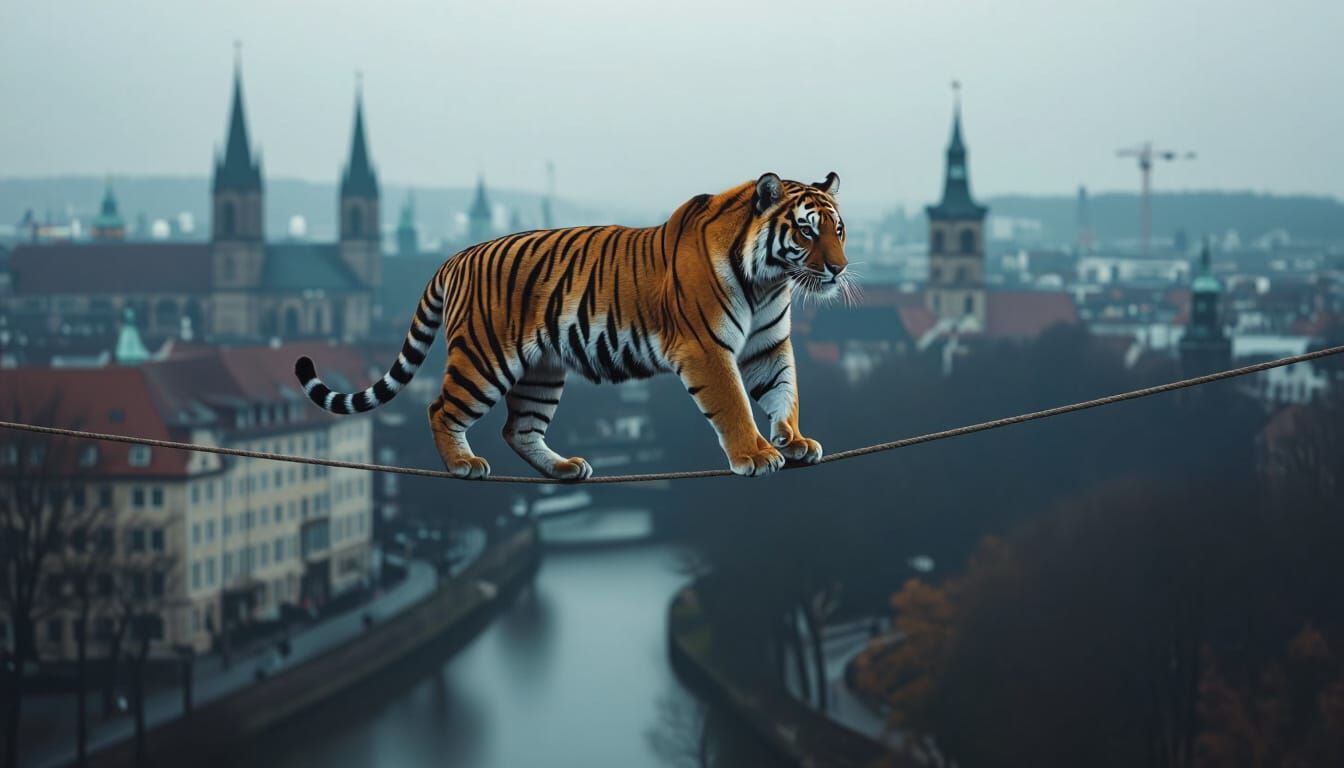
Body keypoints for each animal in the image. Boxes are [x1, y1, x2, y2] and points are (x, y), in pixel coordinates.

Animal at [295, 171, 851, 480]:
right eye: (807, 230)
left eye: (839, 230)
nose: (839, 269)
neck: (769, 282)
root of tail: (456, 256)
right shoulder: (707, 349)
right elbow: (734, 405)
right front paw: (755, 454)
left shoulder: (767, 347)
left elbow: (785, 392)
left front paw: (795, 441)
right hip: (484, 360)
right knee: (439, 408)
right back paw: (462, 464)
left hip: (541, 370)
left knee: (518, 428)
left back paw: (564, 468)